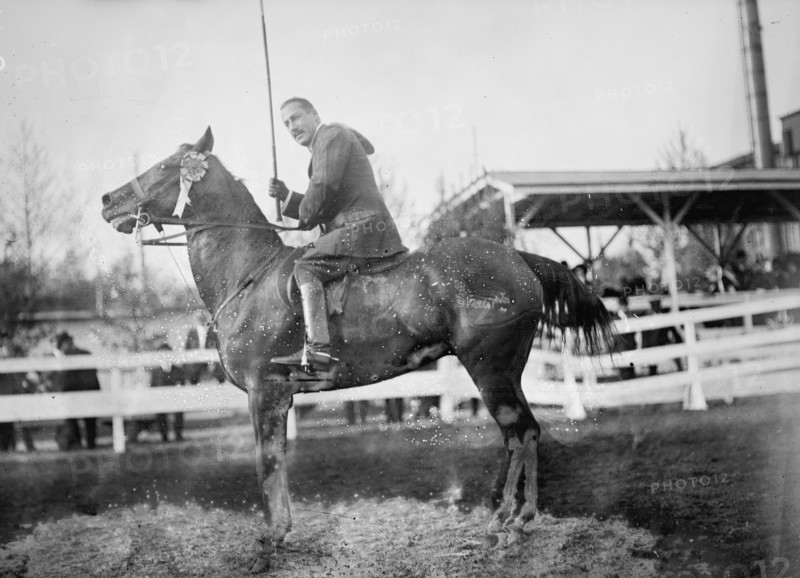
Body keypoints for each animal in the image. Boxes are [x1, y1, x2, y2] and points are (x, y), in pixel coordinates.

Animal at [100, 127, 614, 573]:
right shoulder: (277, 398)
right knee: (524, 434)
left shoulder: (264, 394)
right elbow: (277, 461)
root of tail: (518, 258)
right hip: (505, 372)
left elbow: (267, 465)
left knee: (518, 433)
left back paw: (509, 524)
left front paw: (269, 542)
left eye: (166, 166)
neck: (249, 274)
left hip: (489, 370)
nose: (108, 200)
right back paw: (509, 520)